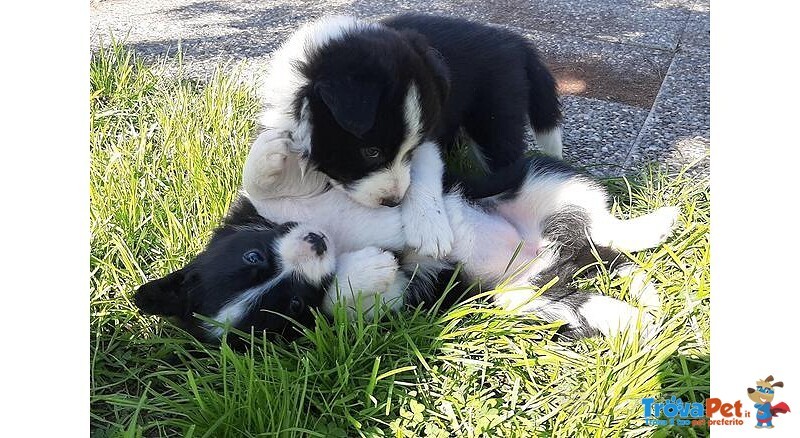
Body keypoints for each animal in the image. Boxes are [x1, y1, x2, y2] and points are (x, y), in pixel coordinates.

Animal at [136, 137, 676, 342]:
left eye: (252, 256)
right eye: (289, 304)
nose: (316, 242)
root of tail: (561, 253)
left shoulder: (256, 210)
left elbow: (261, 185)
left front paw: (273, 153)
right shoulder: (399, 298)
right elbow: (348, 298)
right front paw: (366, 268)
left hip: (536, 180)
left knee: (602, 222)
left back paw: (653, 227)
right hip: (521, 298)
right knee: (587, 291)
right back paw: (637, 319)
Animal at [247, 13, 564, 260]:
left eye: (407, 152)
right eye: (371, 152)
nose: (392, 202)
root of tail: (513, 40)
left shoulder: (429, 136)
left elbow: (423, 173)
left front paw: (430, 229)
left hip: (495, 117)